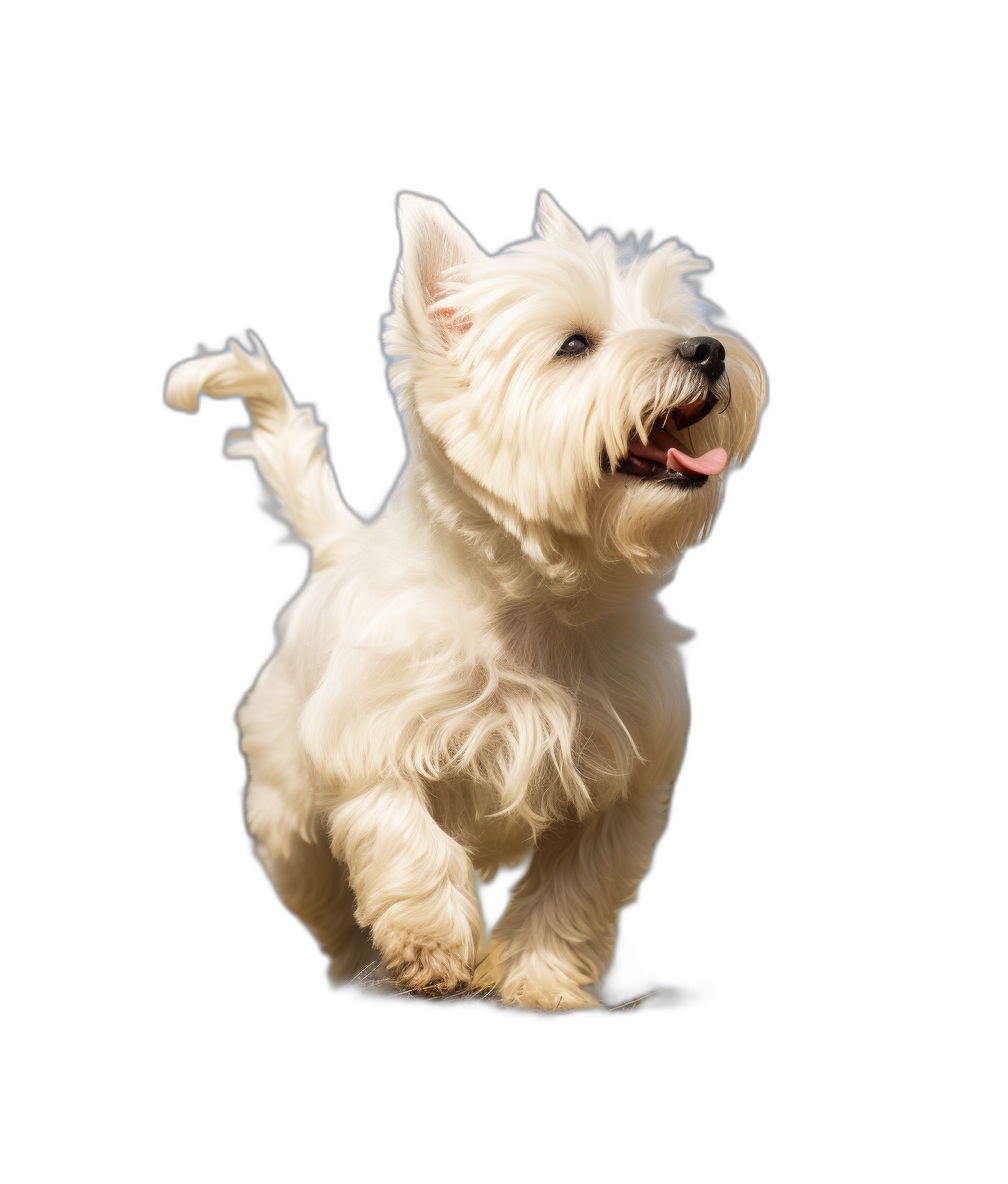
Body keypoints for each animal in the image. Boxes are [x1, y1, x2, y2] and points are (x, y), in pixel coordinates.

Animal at [165, 194, 767, 1008]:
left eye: (673, 319)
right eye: (574, 344)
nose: (707, 350)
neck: (531, 601)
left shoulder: (623, 789)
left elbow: (572, 894)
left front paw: (542, 986)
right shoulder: (369, 742)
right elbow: (404, 837)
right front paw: (432, 948)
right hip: (285, 805)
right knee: (325, 896)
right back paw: (364, 968)